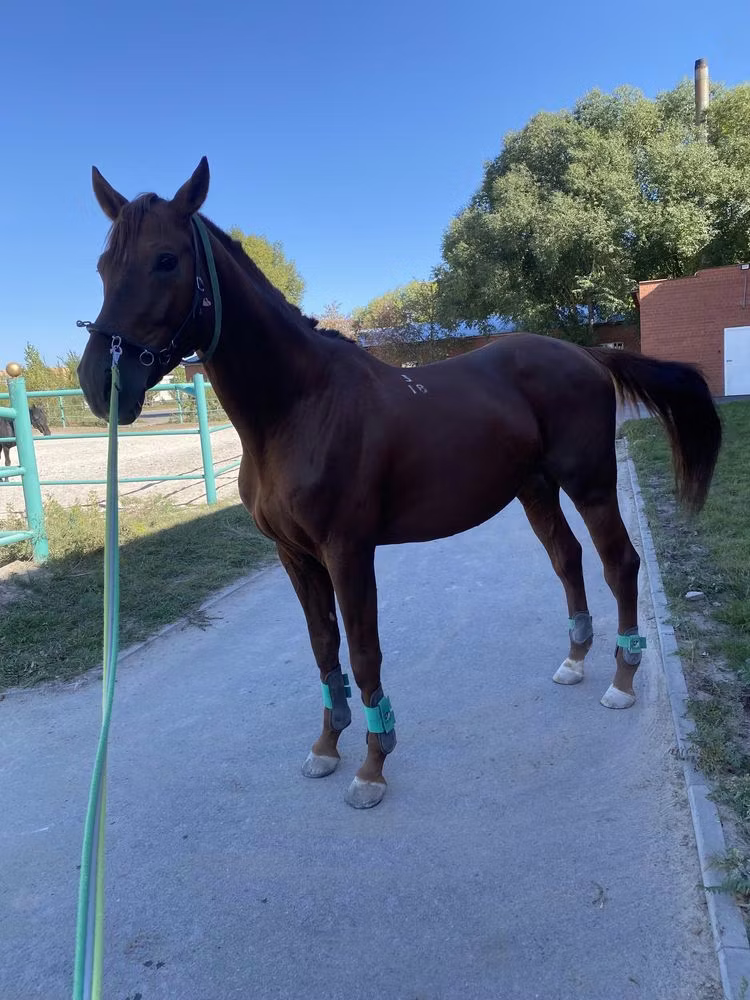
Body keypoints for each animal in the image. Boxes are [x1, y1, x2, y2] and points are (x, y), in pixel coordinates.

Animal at [77, 159, 722, 809]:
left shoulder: (348, 551)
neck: (300, 407)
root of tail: (586, 354)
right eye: (103, 266)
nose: (100, 383)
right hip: (534, 488)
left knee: (620, 562)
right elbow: (323, 648)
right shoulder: (294, 556)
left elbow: (364, 654)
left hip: (588, 484)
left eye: (166, 260)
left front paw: (371, 766)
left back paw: (622, 680)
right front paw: (326, 746)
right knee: (567, 559)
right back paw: (575, 660)